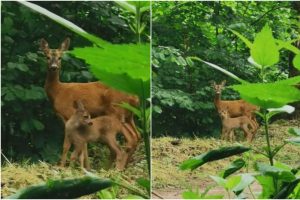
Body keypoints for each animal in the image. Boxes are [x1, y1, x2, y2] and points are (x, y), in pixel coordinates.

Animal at [40, 38, 140, 169]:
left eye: (60, 57)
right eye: (46, 57)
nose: (53, 67)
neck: (58, 91)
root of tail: (135, 96)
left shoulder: (68, 114)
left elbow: (67, 144)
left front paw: (63, 167)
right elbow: (83, 145)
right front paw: (86, 167)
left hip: (116, 111)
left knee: (130, 138)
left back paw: (116, 168)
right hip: (129, 116)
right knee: (137, 136)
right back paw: (118, 168)